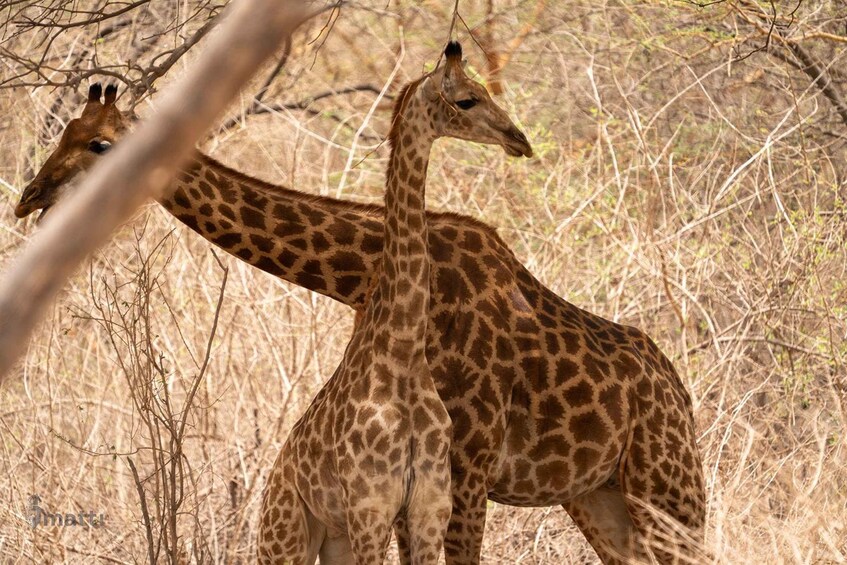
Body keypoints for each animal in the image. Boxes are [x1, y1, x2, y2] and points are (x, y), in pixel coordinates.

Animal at [15, 76, 706, 564]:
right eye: (66, 131)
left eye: (100, 144)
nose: (28, 196)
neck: (361, 276)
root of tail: (682, 395)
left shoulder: (466, 465)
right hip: (598, 496)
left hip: (669, 488)